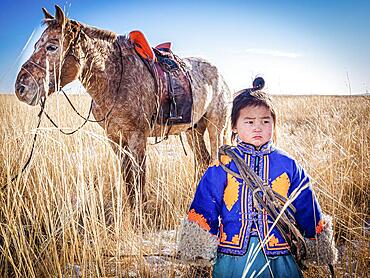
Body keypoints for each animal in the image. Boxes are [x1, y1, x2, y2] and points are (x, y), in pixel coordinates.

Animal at [15, 4, 233, 206]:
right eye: (36, 46)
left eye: (52, 47)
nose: (20, 88)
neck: (114, 77)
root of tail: (221, 75)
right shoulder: (115, 139)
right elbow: (128, 181)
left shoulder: (137, 137)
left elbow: (139, 180)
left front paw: (141, 214)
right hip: (193, 131)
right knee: (203, 161)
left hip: (217, 128)